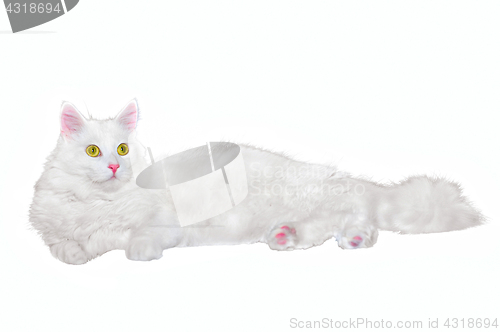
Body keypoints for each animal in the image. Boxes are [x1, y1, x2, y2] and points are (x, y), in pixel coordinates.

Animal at [29, 100, 482, 264]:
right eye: (93, 151)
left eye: (123, 149)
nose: (113, 168)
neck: (100, 202)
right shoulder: (54, 230)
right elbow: (64, 247)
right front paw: (77, 253)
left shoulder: (165, 222)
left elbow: (137, 236)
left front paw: (138, 252)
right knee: (337, 223)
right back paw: (288, 237)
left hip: (317, 196)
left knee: (356, 216)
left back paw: (338, 239)